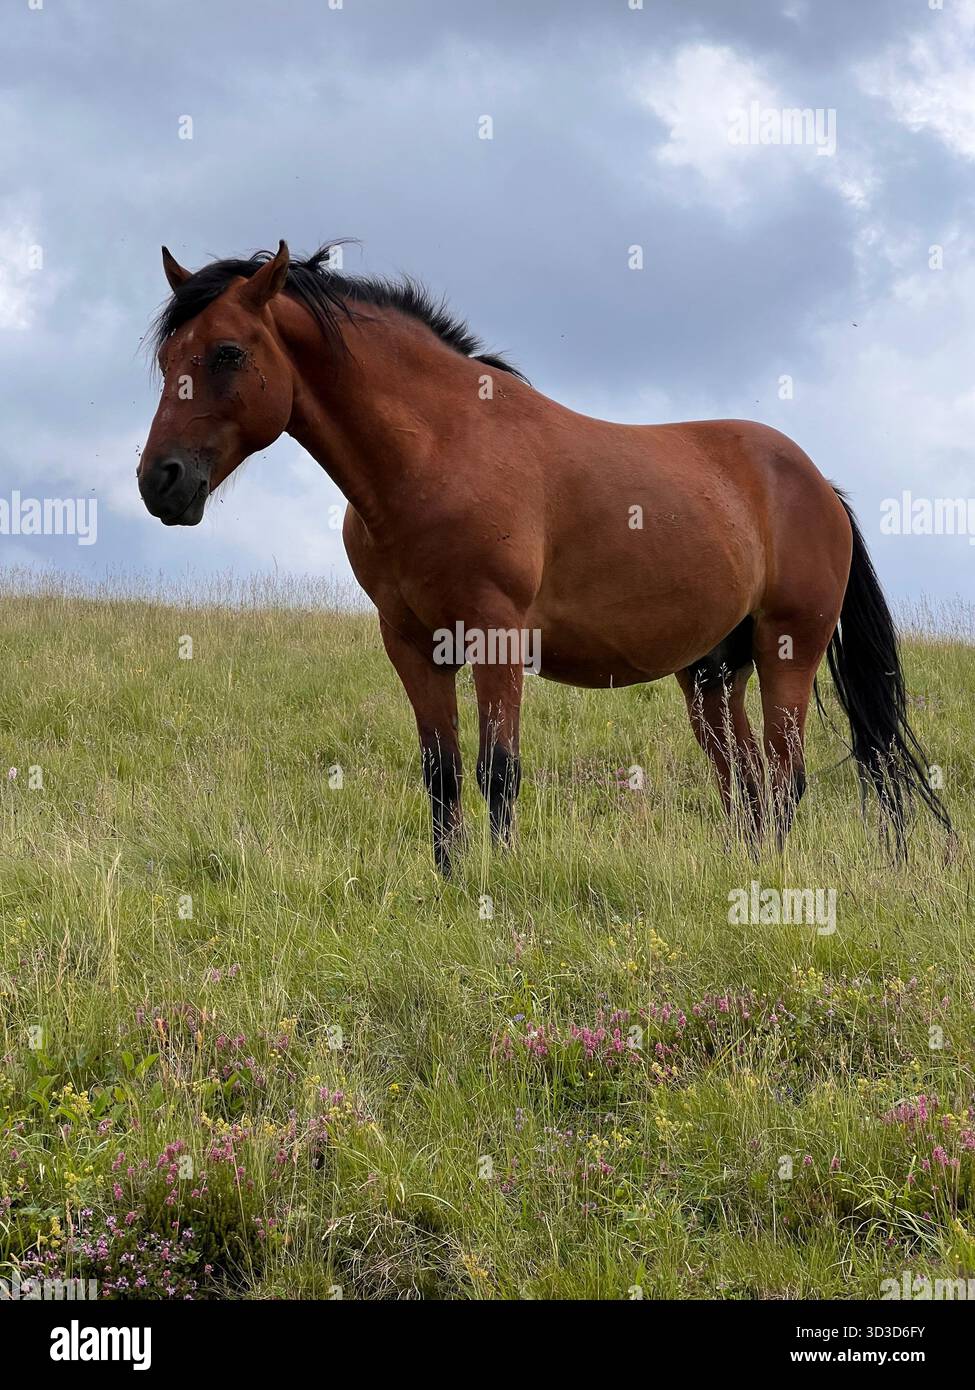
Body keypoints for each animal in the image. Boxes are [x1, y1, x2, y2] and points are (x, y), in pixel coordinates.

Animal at [138, 241, 950, 875]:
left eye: (228, 352)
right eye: (167, 357)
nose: (159, 481)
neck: (438, 453)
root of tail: (817, 484)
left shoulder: (495, 634)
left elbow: (498, 771)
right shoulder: (411, 643)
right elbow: (441, 773)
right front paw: (449, 884)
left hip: (788, 652)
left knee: (784, 780)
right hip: (712, 674)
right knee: (743, 783)